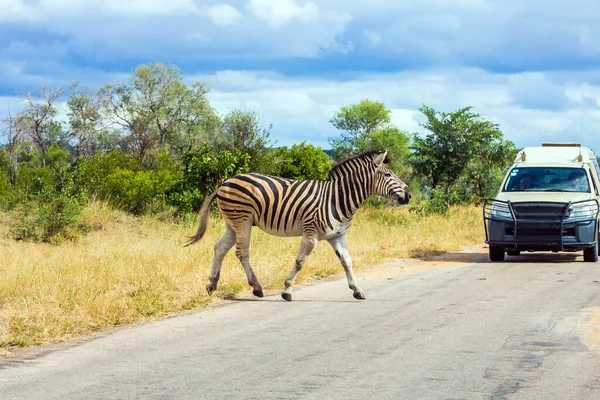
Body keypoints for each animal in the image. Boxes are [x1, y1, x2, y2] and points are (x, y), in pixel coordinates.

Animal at [185, 149, 410, 300]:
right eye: (388, 175)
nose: (409, 195)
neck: (337, 198)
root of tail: (225, 182)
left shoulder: (338, 236)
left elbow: (347, 262)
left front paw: (357, 290)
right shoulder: (311, 233)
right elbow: (300, 261)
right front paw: (287, 290)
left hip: (232, 223)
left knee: (219, 248)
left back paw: (211, 285)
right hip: (243, 220)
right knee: (242, 253)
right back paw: (256, 287)